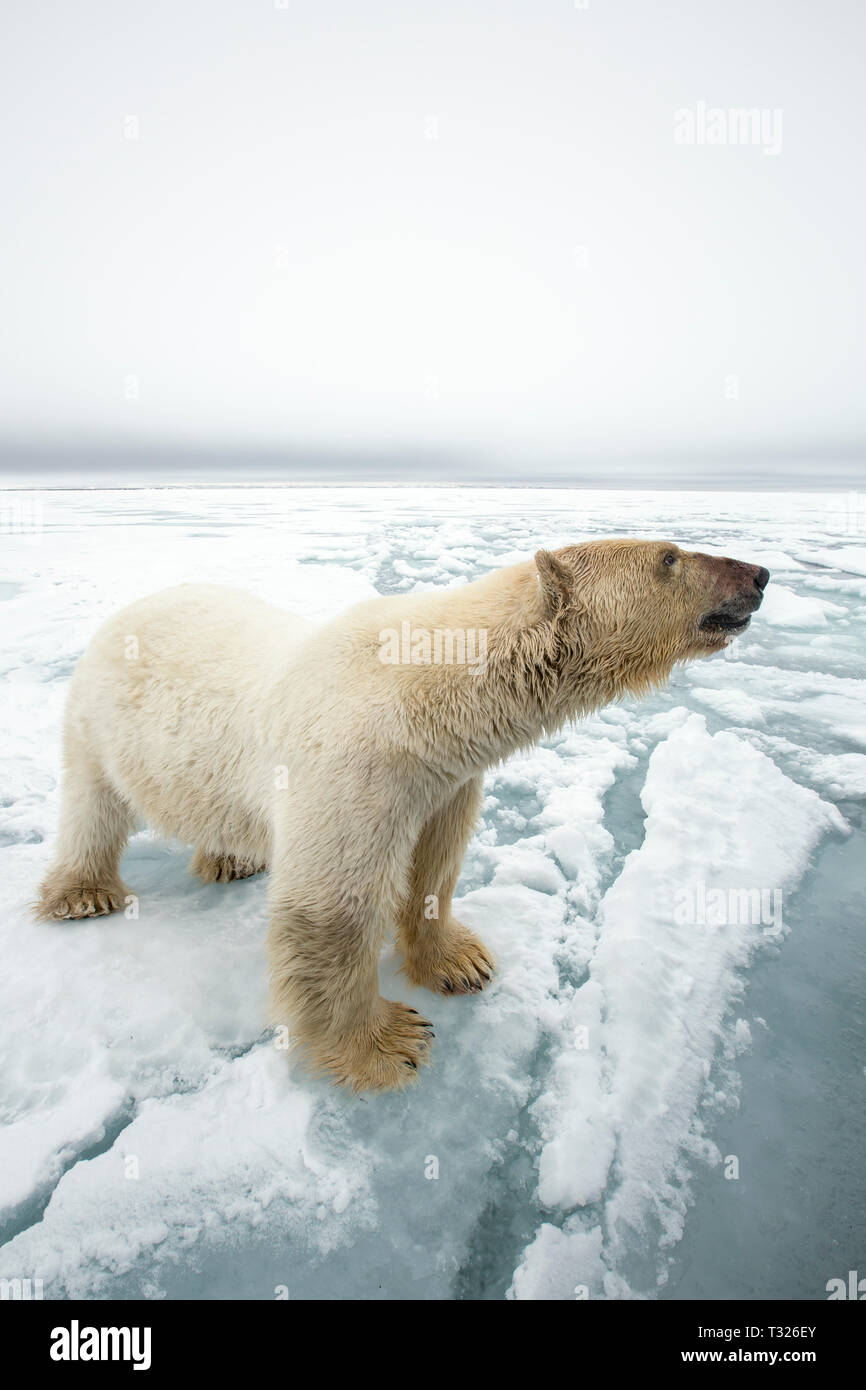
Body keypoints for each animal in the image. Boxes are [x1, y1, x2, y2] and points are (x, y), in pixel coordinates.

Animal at [35, 539, 769, 1091]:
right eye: (671, 556)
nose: (760, 575)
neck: (426, 697)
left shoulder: (444, 777)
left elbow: (436, 863)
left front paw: (460, 964)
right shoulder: (353, 765)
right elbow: (331, 906)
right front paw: (389, 1043)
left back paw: (230, 858)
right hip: (102, 722)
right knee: (92, 805)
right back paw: (84, 894)